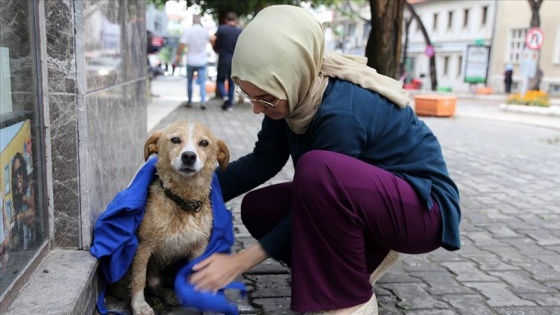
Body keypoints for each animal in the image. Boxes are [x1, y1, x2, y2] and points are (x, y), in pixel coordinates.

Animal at [109, 120, 230, 315]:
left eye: (204, 143)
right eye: (175, 139)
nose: (189, 156)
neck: (184, 203)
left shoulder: (199, 248)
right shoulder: (143, 247)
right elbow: (138, 279)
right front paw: (139, 305)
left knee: (153, 282)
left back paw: (171, 294)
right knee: (131, 284)